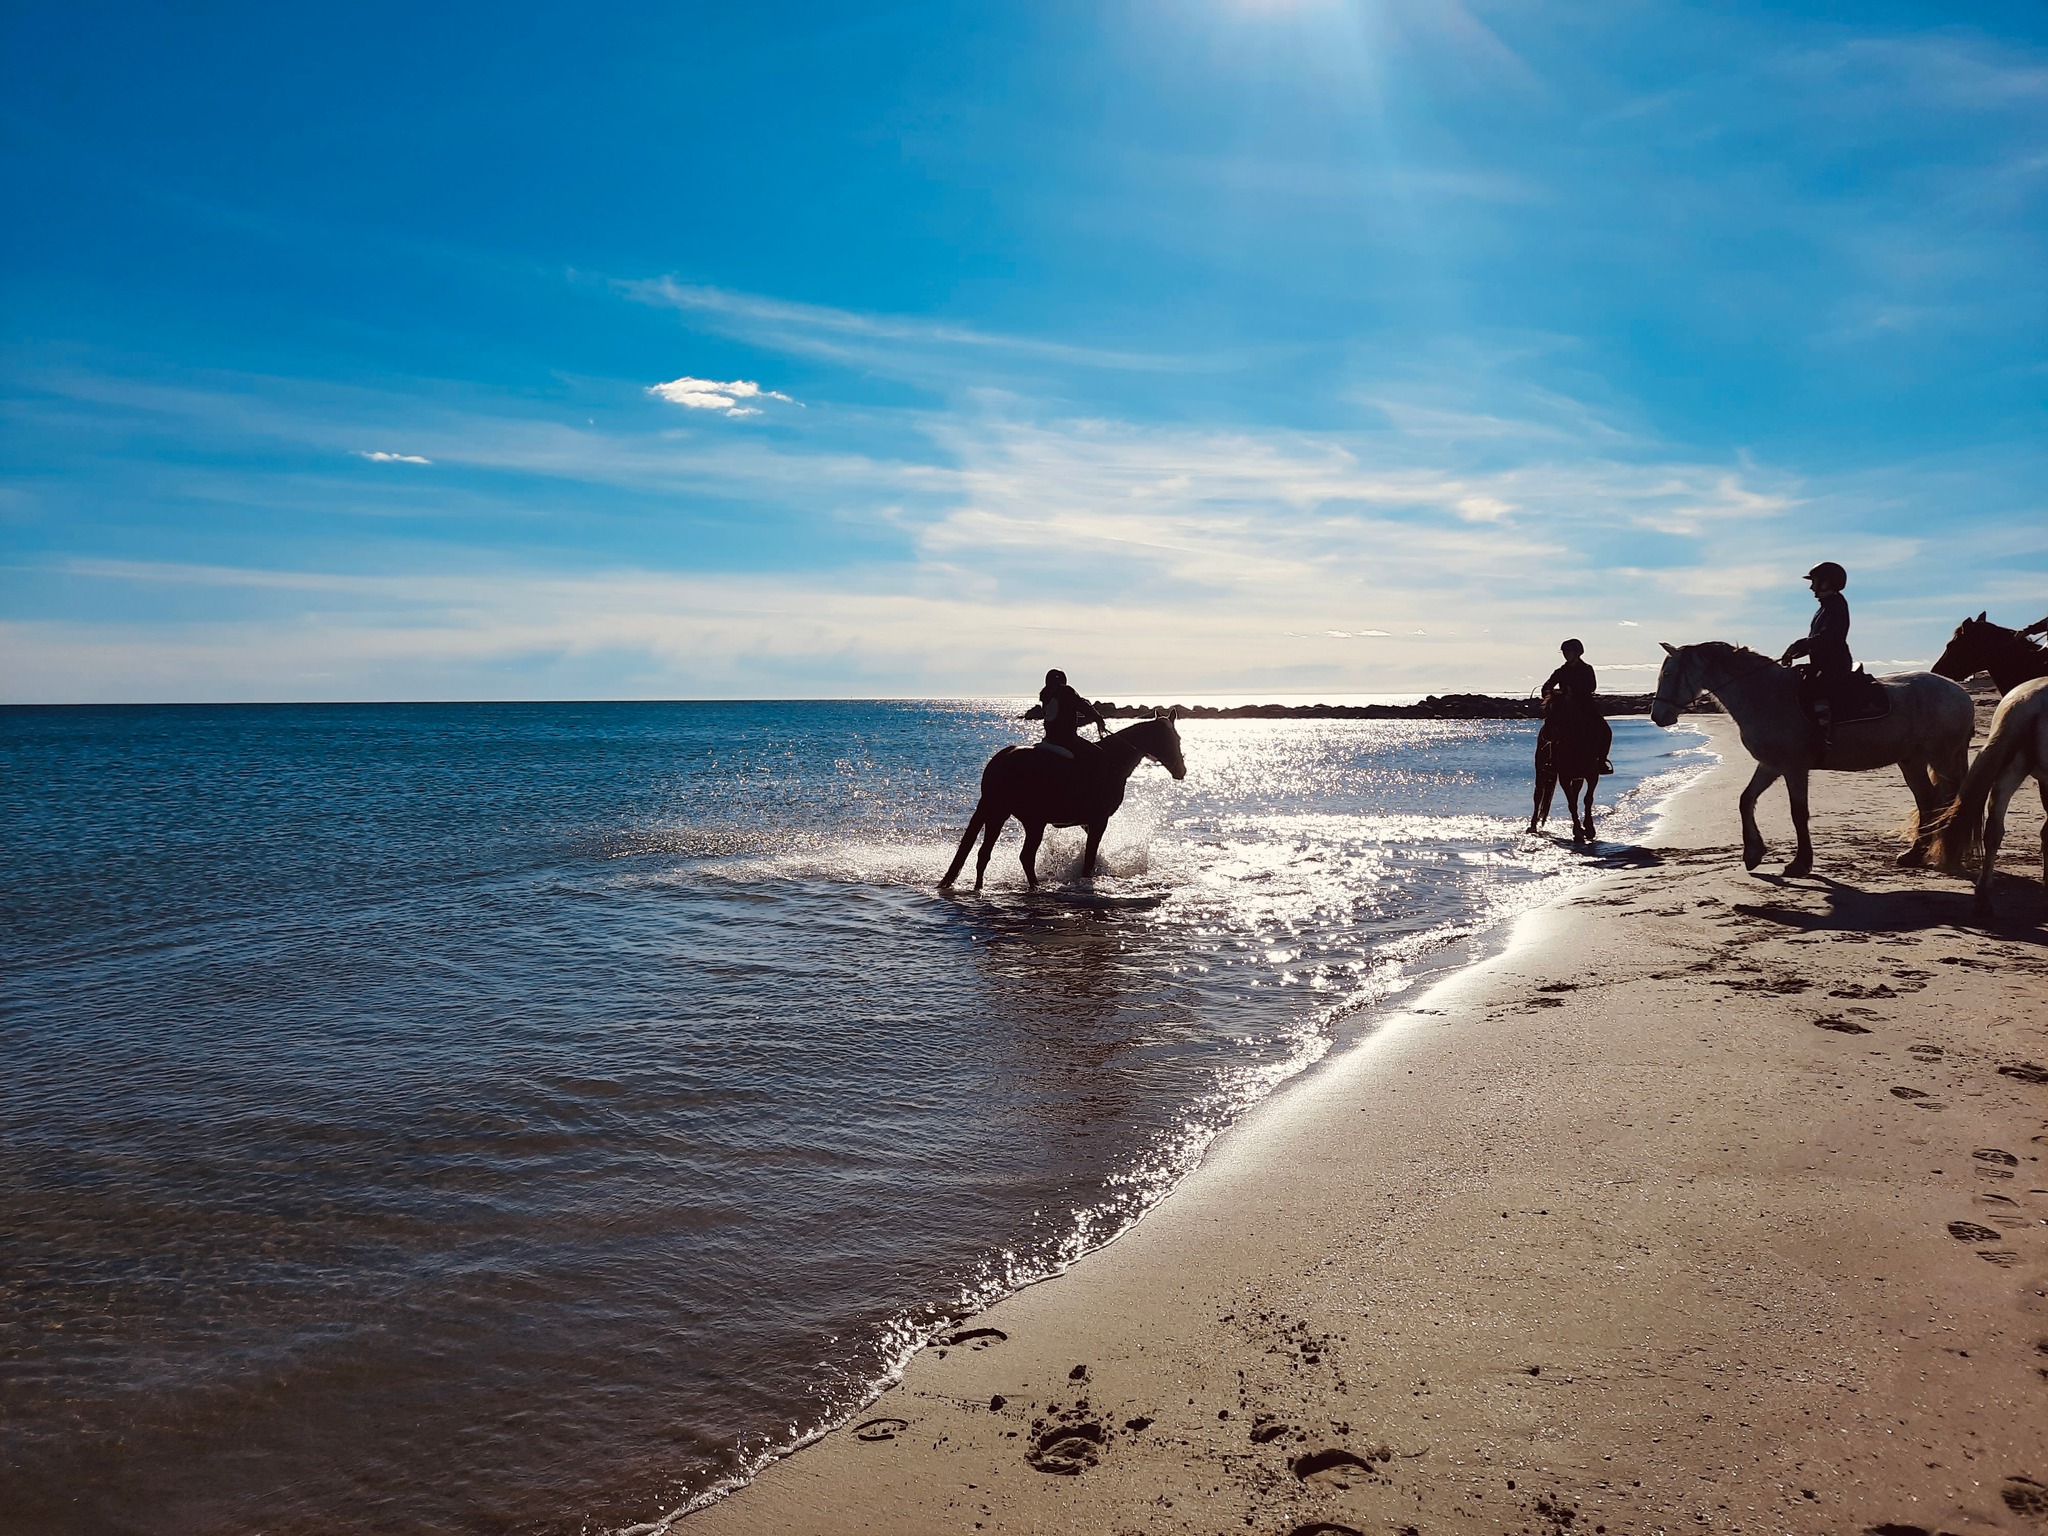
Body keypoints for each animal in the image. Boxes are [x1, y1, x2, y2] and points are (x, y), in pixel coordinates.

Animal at [937, 708, 1187, 888]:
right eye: (1171, 739)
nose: (1181, 771)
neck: (1114, 760)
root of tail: (999, 762)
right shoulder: (1099, 820)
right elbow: (1089, 858)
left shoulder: (1088, 823)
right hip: (1031, 821)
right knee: (1025, 857)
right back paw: (1035, 888)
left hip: (998, 815)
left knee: (984, 854)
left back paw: (979, 888)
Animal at [1531, 696, 1605, 847]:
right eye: (1546, 708)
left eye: (1561, 708)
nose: (1547, 733)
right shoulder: (1564, 778)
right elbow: (1571, 804)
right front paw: (1578, 832)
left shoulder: (1592, 776)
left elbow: (1587, 799)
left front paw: (1589, 829)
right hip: (1541, 773)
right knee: (1538, 795)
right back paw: (1532, 826)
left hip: (1578, 778)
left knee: (1575, 794)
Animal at [1654, 638, 1974, 876]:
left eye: (1667, 674)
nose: (1658, 717)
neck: (1768, 695)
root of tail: (1959, 693)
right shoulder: (1771, 765)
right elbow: (1746, 800)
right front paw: (1753, 853)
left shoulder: (1794, 768)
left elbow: (1798, 813)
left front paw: (1800, 862)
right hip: (1912, 761)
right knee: (1928, 801)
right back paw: (1914, 854)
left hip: (1941, 758)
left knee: (1951, 800)